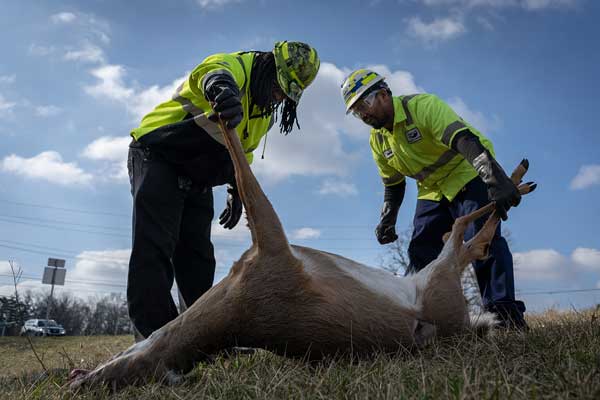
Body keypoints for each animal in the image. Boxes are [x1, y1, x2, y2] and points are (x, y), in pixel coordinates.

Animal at [68, 119, 536, 390]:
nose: (79, 380)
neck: (232, 313)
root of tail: (456, 327)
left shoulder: (269, 245)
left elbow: (240, 165)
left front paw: (219, 106)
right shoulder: (272, 243)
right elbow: (243, 168)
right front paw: (219, 111)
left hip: (436, 276)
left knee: (466, 230)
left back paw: (512, 180)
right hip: (440, 282)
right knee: (467, 235)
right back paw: (512, 185)